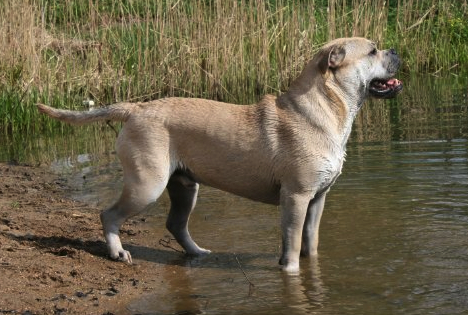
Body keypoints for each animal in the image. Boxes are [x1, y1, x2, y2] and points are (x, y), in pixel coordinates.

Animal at [36, 37, 402, 274]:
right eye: (372, 51)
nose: (396, 50)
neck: (328, 106)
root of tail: (136, 108)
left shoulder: (317, 198)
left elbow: (309, 242)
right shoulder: (296, 197)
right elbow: (291, 243)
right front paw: (291, 272)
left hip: (184, 186)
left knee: (175, 223)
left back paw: (198, 253)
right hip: (147, 184)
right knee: (109, 215)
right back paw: (117, 252)